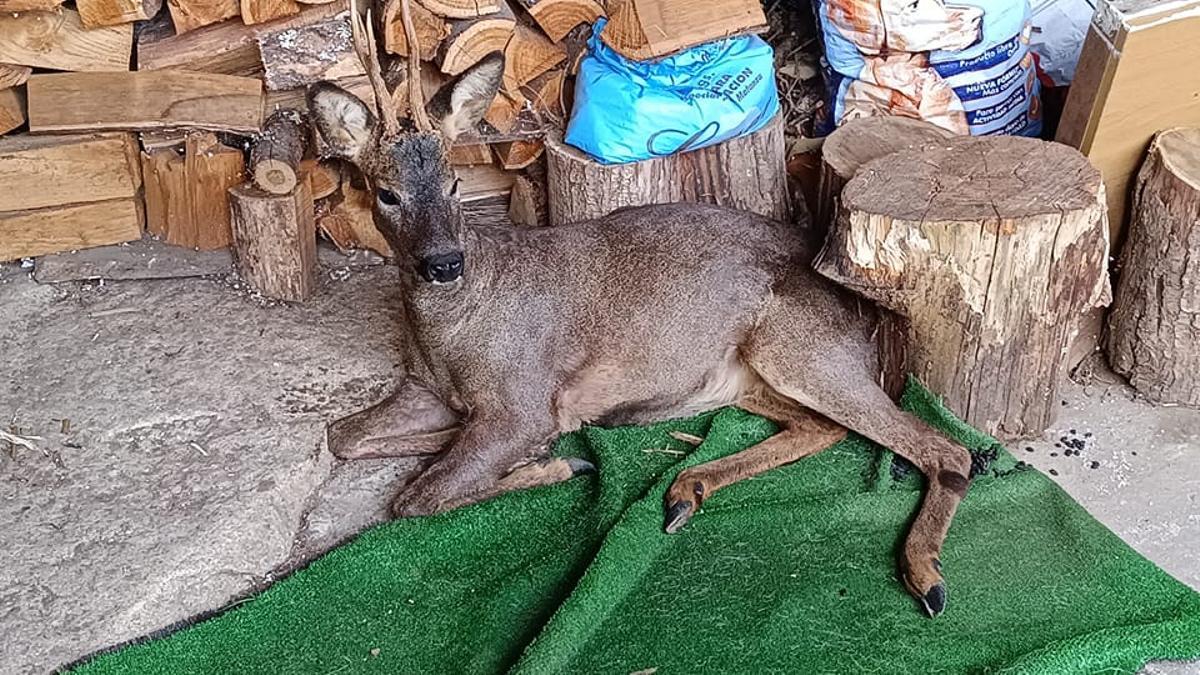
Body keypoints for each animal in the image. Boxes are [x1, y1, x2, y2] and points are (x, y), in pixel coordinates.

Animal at [316, 0, 974, 614]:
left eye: (454, 184)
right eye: (386, 193)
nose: (443, 262)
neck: (450, 333)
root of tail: (867, 308)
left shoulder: (523, 401)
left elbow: (414, 497)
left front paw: (552, 465)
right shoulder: (424, 389)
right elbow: (342, 436)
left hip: (794, 345)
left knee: (947, 448)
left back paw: (927, 576)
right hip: (749, 376)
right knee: (823, 427)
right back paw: (689, 488)